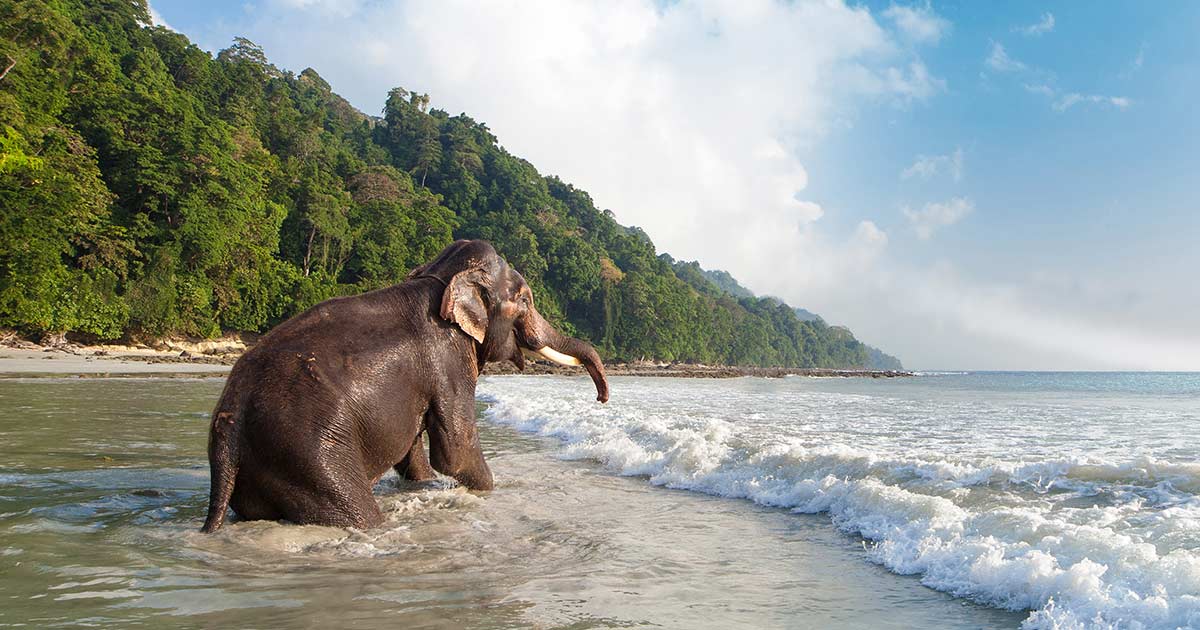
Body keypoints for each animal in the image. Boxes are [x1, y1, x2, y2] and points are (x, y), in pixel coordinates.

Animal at [201, 241, 609, 530]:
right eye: (524, 299)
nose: (603, 398)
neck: (438, 278)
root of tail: (229, 423)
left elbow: (414, 450)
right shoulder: (448, 359)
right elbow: (455, 452)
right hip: (309, 455)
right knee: (357, 512)